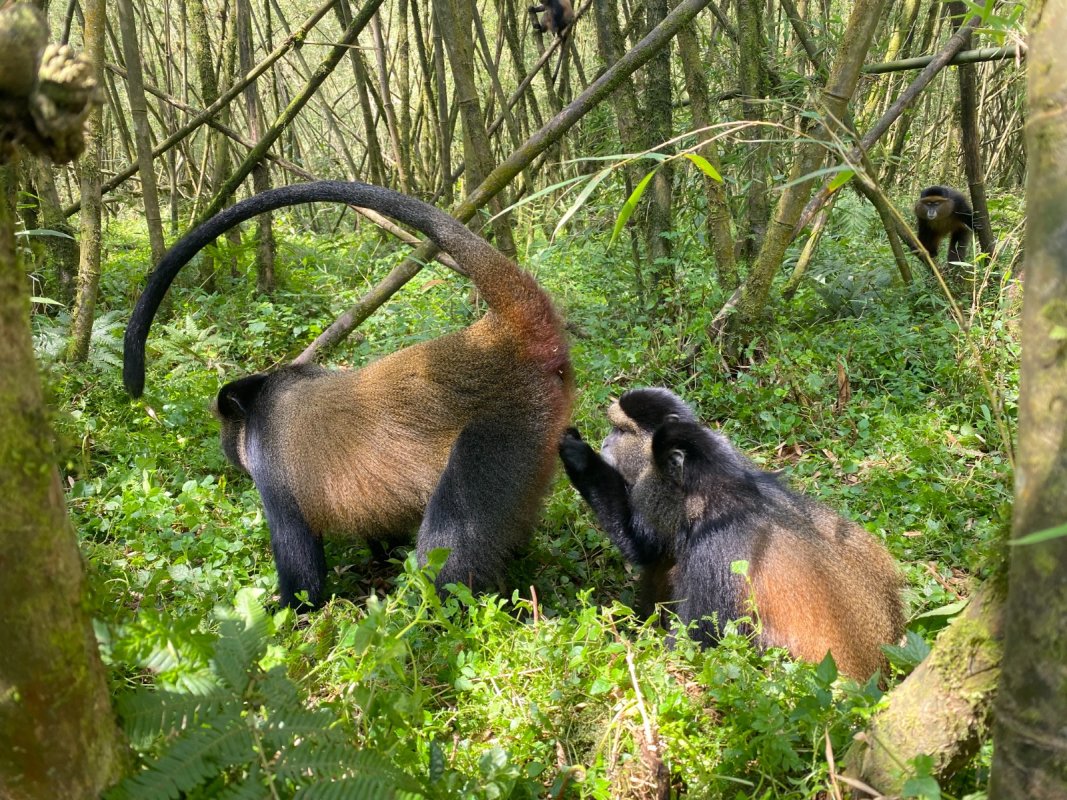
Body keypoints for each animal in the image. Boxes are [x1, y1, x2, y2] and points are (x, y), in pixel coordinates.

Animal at [124, 181, 574, 610]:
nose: (227, 451)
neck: (263, 395)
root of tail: (499, 335)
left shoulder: (271, 469)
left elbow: (303, 573)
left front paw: (284, 613)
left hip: (503, 434)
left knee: (450, 541)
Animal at [558, 388, 904, 680]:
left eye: (621, 431)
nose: (604, 443)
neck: (720, 487)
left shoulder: (712, 554)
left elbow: (686, 641)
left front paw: (580, 456)